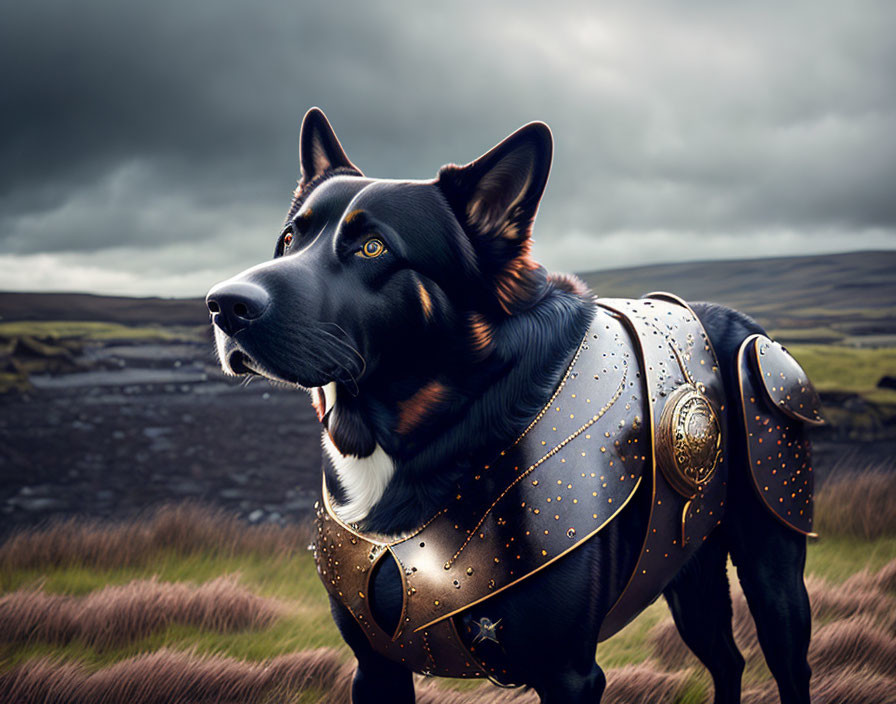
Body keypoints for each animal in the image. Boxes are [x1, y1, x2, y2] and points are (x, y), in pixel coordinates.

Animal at [206, 107, 824, 700]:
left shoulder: (568, 673)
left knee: (785, 666)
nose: (223, 305)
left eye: (372, 247)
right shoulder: (375, 669)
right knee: (728, 661)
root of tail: (745, 324)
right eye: (290, 239)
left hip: (774, 573)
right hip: (684, 569)